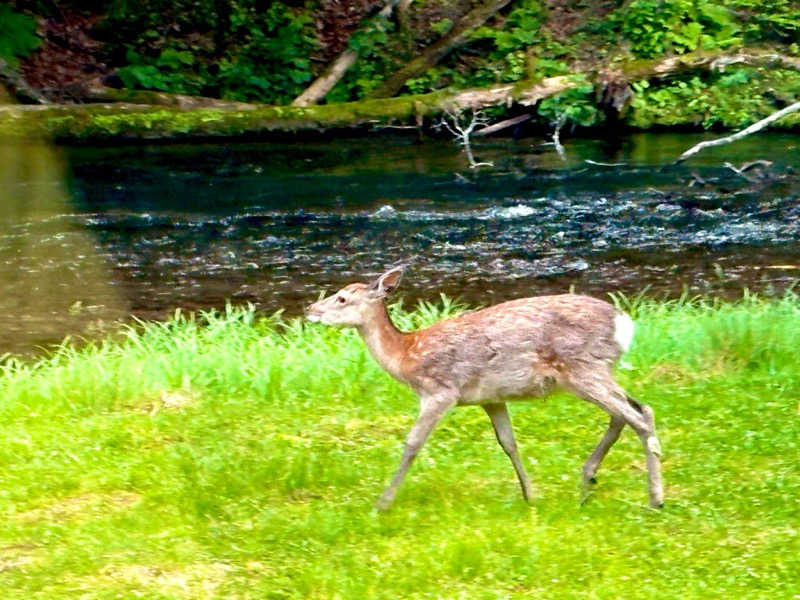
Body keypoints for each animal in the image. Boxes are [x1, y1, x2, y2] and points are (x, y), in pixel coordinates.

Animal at [306, 268, 664, 510]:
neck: (406, 357)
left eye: (342, 297)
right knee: (634, 410)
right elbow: (508, 443)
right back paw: (588, 480)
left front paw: (382, 503)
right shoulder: (490, 398)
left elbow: (412, 443)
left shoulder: (441, 390)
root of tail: (624, 323)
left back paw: (655, 498)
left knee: (637, 416)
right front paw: (530, 496)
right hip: (593, 371)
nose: (310, 309)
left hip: (583, 366)